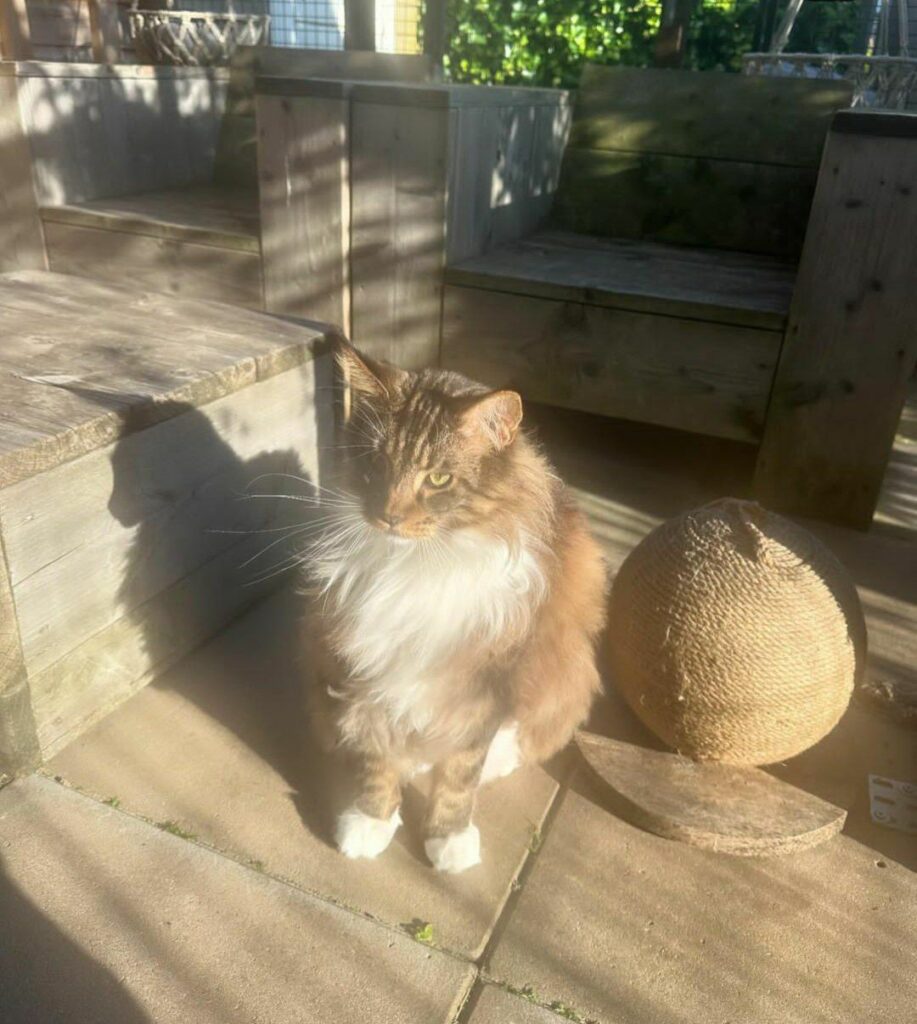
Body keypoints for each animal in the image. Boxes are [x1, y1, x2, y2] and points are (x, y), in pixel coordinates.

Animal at [304, 339, 609, 876]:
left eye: (439, 478)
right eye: (377, 465)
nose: (389, 517)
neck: (420, 565)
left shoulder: (486, 684)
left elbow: (461, 775)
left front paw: (448, 839)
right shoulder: (364, 668)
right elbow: (376, 757)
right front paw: (370, 821)